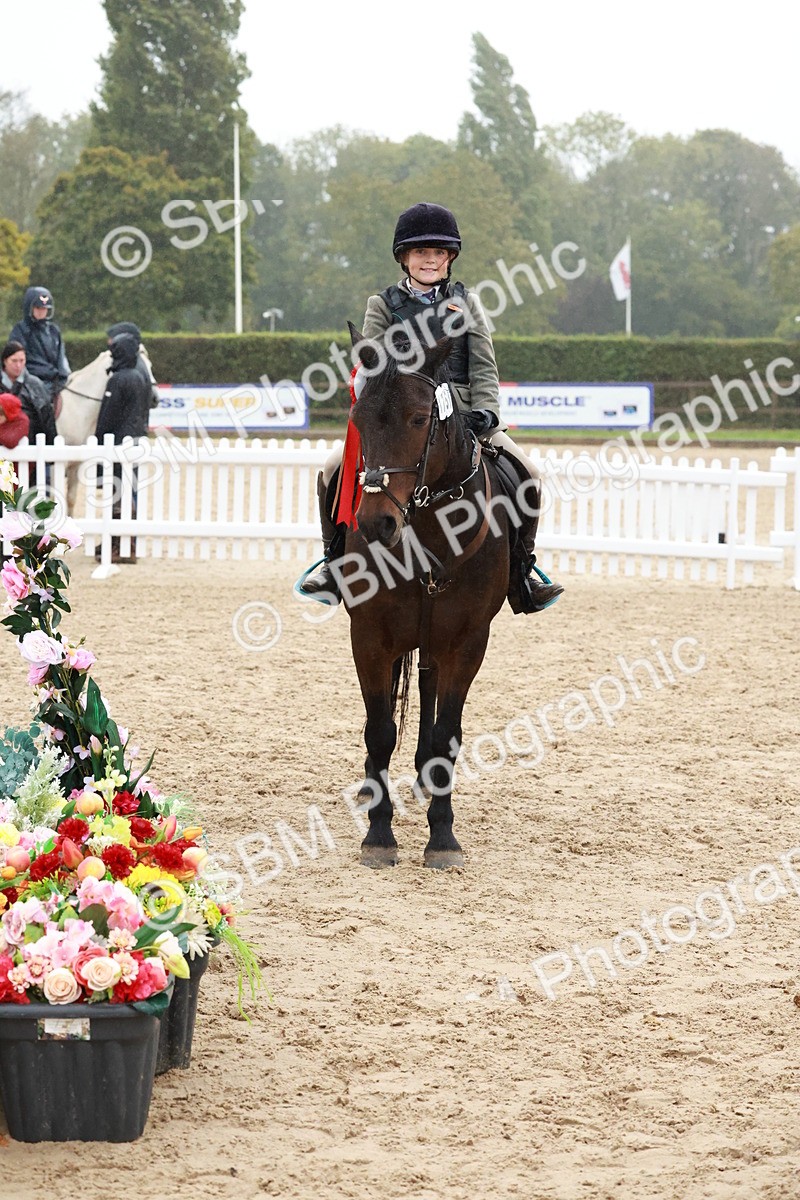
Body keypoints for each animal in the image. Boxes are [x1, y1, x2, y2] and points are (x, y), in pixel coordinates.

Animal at [342, 323, 514, 870]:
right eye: (359, 420)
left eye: (420, 419)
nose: (376, 523)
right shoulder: (369, 637)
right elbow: (379, 731)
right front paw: (378, 834)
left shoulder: (467, 642)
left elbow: (447, 733)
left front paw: (442, 835)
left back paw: (425, 778)